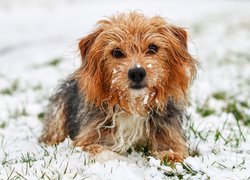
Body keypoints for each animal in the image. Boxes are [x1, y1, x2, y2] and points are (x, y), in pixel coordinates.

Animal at [40, 11, 197, 162]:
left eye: (152, 48)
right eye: (116, 52)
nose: (137, 72)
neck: (134, 105)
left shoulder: (171, 138)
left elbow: (173, 154)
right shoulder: (86, 141)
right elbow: (102, 151)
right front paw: (119, 160)